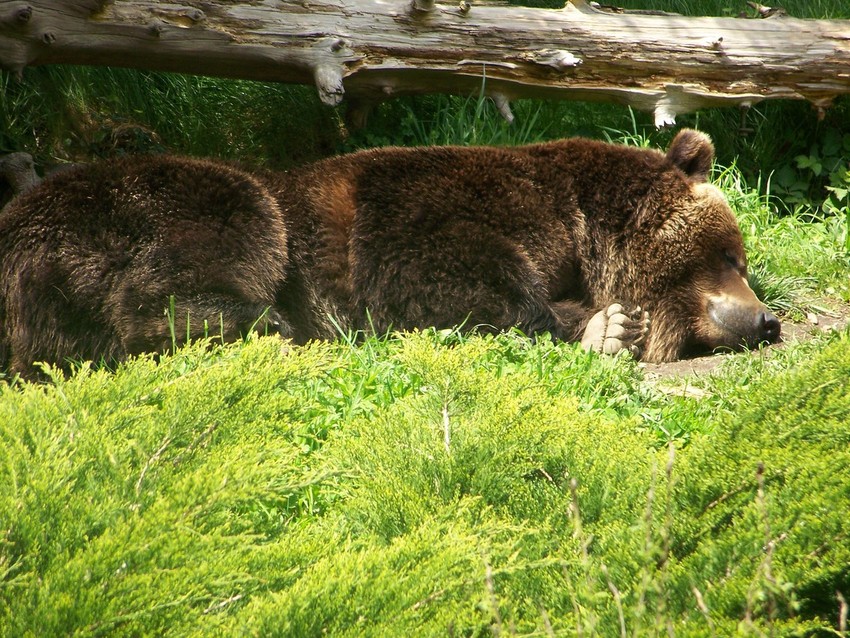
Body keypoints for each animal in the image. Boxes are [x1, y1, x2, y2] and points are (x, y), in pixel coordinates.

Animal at [0, 130, 780, 380]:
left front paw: (609, 321)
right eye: (729, 256)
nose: (766, 319)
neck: (581, 224)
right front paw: (606, 326)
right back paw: (268, 328)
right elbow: (439, 276)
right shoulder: (439, 210)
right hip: (142, 208)